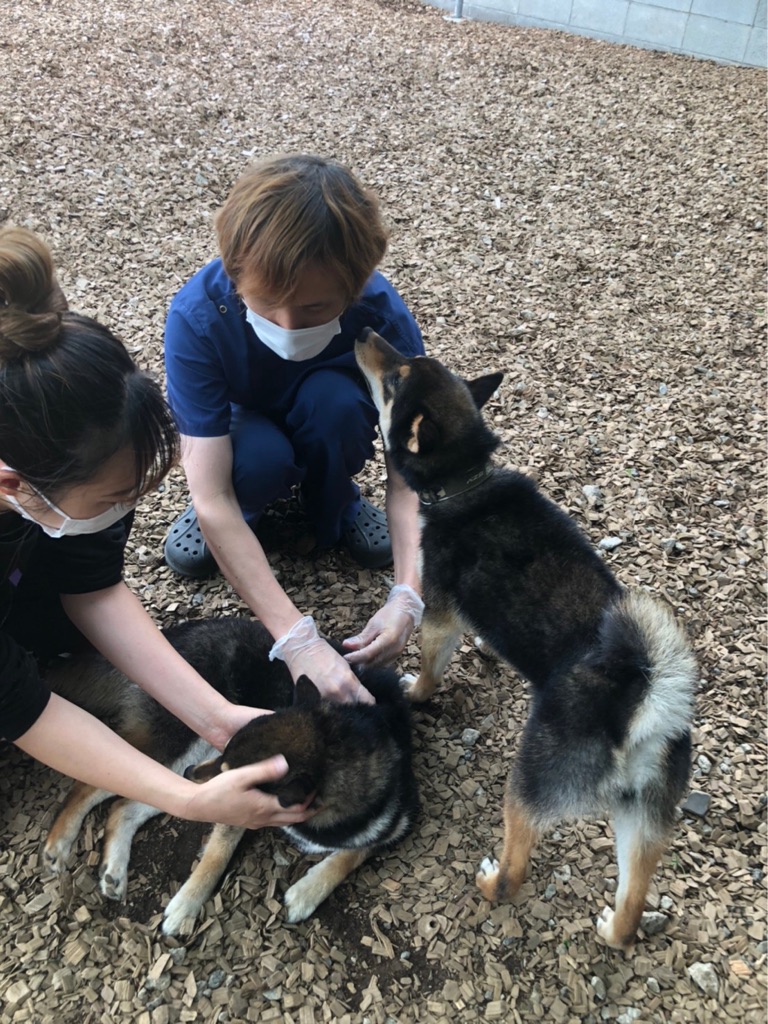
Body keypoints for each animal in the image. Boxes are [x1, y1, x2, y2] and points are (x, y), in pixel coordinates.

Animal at [43, 617, 418, 936]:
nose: (196, 774)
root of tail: (176, 632)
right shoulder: (236, 804)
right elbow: (217, 854)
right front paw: (187, 904)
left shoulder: (397, 823)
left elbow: (352, 854)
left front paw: (307, 892)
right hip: (178, 747)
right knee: (89, 783)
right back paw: (60, 842)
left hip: (182, 770)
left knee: (123, 807)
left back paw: (114, 869)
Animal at [355, 327, 697, 954]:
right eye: (403, 361)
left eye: (394, 378)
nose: (364, 331)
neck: (465, 481)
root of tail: (642, 705)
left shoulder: (439, 615)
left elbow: (431, 667)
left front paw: (415, 692)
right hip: (644, 825)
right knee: (632, 907)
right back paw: (613, 927)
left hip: (527, 786)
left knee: (516, 872)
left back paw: (492, 884)